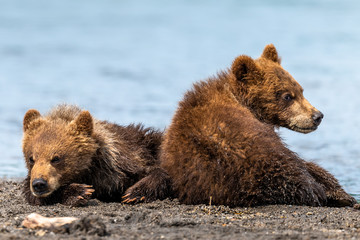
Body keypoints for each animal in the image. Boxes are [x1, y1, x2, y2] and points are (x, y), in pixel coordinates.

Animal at [22, 104, 172, 205]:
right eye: (31, 158)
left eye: (56, 158)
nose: (39, 183)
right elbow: (33, 195)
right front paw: (80, 191)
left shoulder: (125, 161)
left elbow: (159, 172)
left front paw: (134, 193)